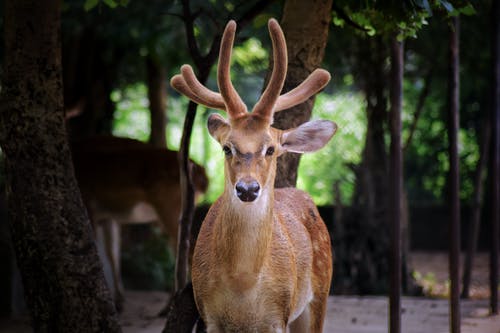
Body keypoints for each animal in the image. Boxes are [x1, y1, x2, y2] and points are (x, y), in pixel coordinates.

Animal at [70, 134, 207, 308]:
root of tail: (203, 176)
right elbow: (111, 252)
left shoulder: (89, 205)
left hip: (170, 207)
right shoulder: (107, 216)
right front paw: (118, 301)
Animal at [171, 18, 336, 332]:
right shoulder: (208, 315)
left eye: (270, 149)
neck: (242, 287)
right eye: (226, 148)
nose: (247, 189)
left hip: (321, 290)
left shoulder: (278, 317)